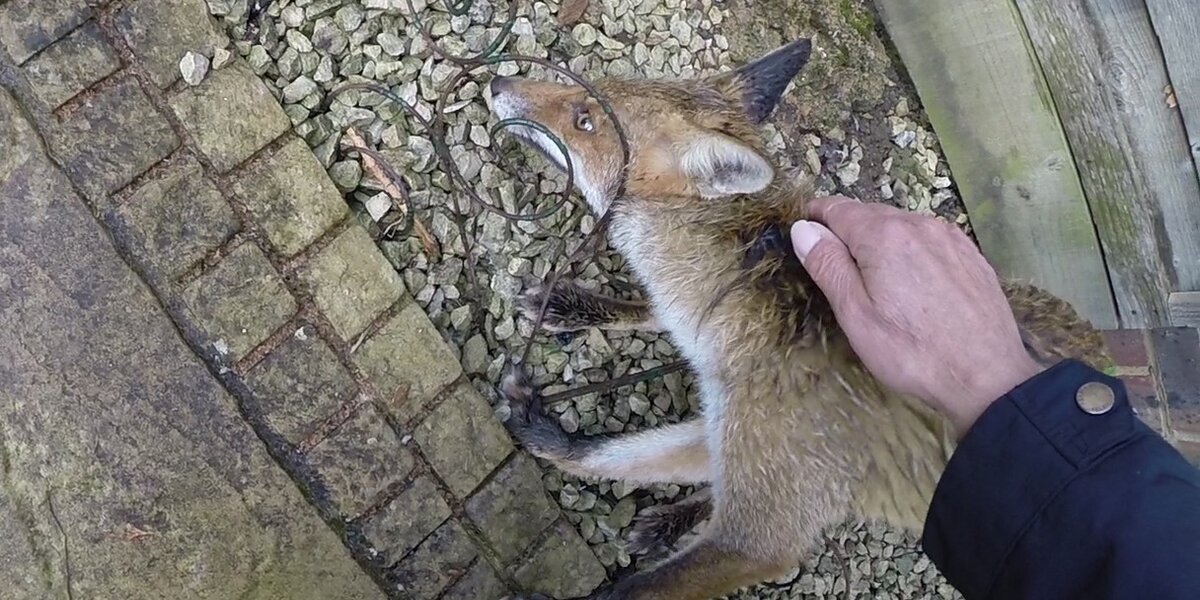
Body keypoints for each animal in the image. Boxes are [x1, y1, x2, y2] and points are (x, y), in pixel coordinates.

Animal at [486, 38, 1111, 600]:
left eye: (584, 119)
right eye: (588, 92)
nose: (496, 81)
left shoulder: (764, 517)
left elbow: (640, 585)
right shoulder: (738, 425)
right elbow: (609, 452)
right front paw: (542, 424)